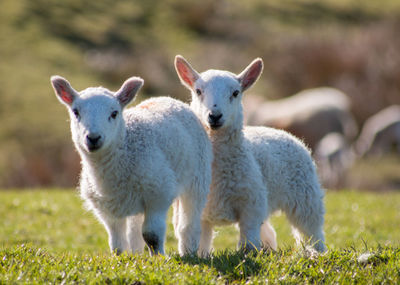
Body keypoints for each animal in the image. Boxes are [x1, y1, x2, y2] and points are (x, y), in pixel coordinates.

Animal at [50, 74, 212, 254]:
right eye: (75, 112)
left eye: (114, 113)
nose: (93, 138)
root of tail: (169, 99)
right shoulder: (107, 208)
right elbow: (116, 242)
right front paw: (121, 257)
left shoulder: (158, 194)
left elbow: (151, 235)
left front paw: (159, 256)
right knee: (134, 230)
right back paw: (137, 253)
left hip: (198, 177)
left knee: (189, 220)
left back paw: (189, 251)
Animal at [174, 55, 324, 253]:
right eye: (198, 91)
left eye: (236, 93)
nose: (214, 116)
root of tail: (284, 133)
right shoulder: (196, 209)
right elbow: (194, 237)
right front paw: (194, 255)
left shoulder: (251, 205)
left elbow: (248, 238)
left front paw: (247, 254)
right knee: (270, 232)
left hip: (305, 196)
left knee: (311, 229)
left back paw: (316, 252)